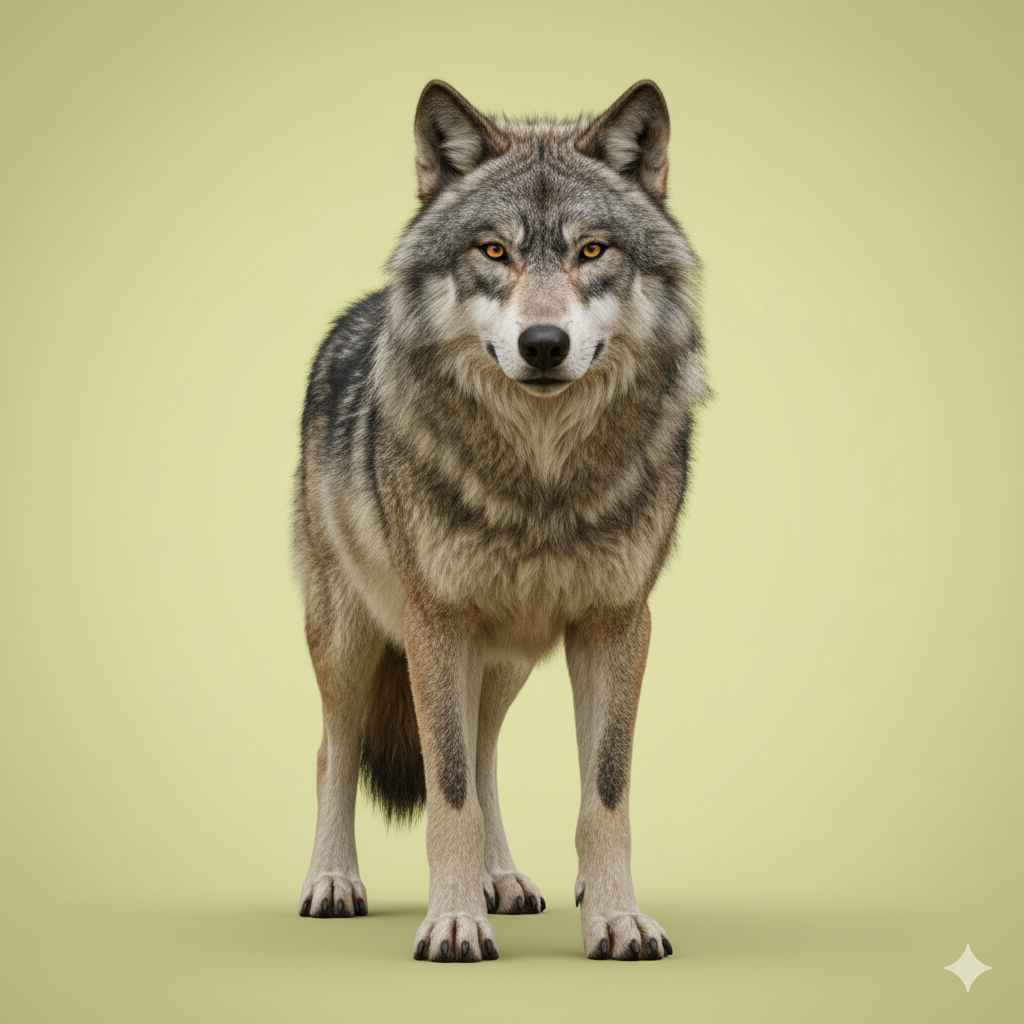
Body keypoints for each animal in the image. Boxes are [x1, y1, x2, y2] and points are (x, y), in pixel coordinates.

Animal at [294, 79, 707, 962]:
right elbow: (447, 790)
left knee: (484, 751)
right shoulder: (436, 621)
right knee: (333, 750)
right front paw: (452, 923)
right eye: (493, 252)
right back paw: (333, 882)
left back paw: (503, 879)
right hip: (349, 638)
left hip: (506, 658)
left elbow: (602, 794)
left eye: (592, 251)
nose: (543, 343)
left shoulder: (617, 621)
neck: (541, 478)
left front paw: (617, 918)